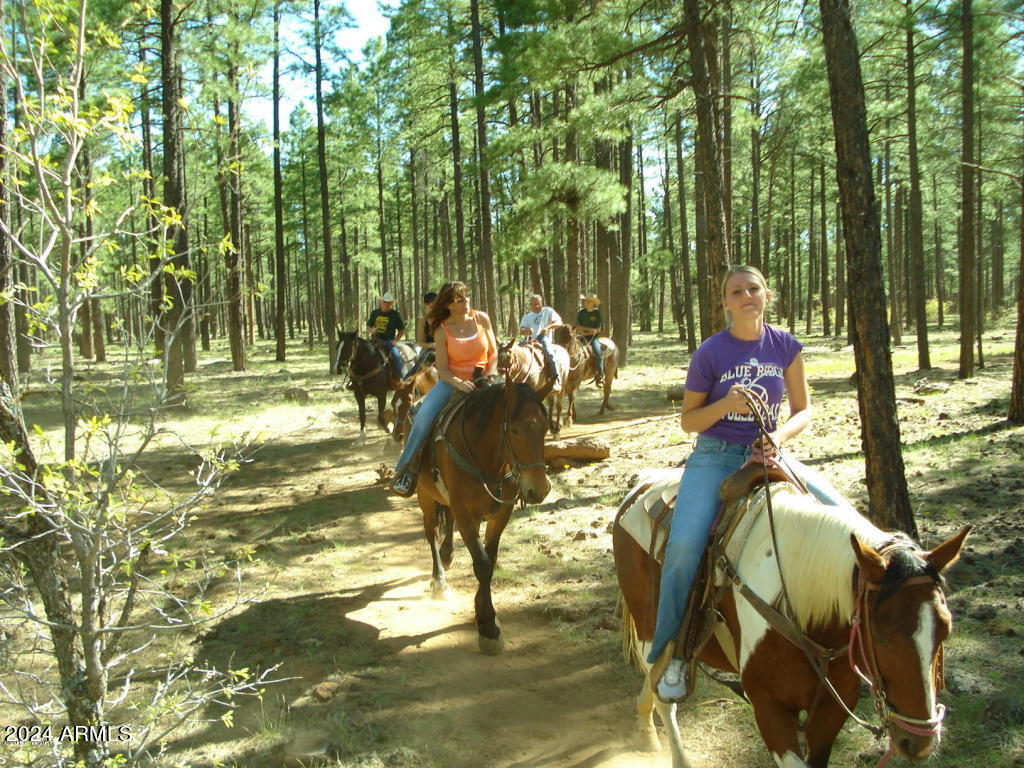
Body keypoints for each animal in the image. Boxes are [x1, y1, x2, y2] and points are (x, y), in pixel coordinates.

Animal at [411, 378, 552, 655]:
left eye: (544, 428)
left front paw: (482, 613)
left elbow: (490, 558)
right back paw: (439, 581)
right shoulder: (467, 515)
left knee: (446, 525)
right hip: (425, 496)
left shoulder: (500, 515)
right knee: (431, 533)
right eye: (515, 430)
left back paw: (447, 556)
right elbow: (483, 565)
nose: (538, 489)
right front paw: (488, 626)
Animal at [614, 468, 966, 768]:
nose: (918, 741)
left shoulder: (834, 706)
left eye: (945, 630)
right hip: (651, 628)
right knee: (662, 689)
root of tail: (641, 485)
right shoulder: (768, 707)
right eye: (881, 634)